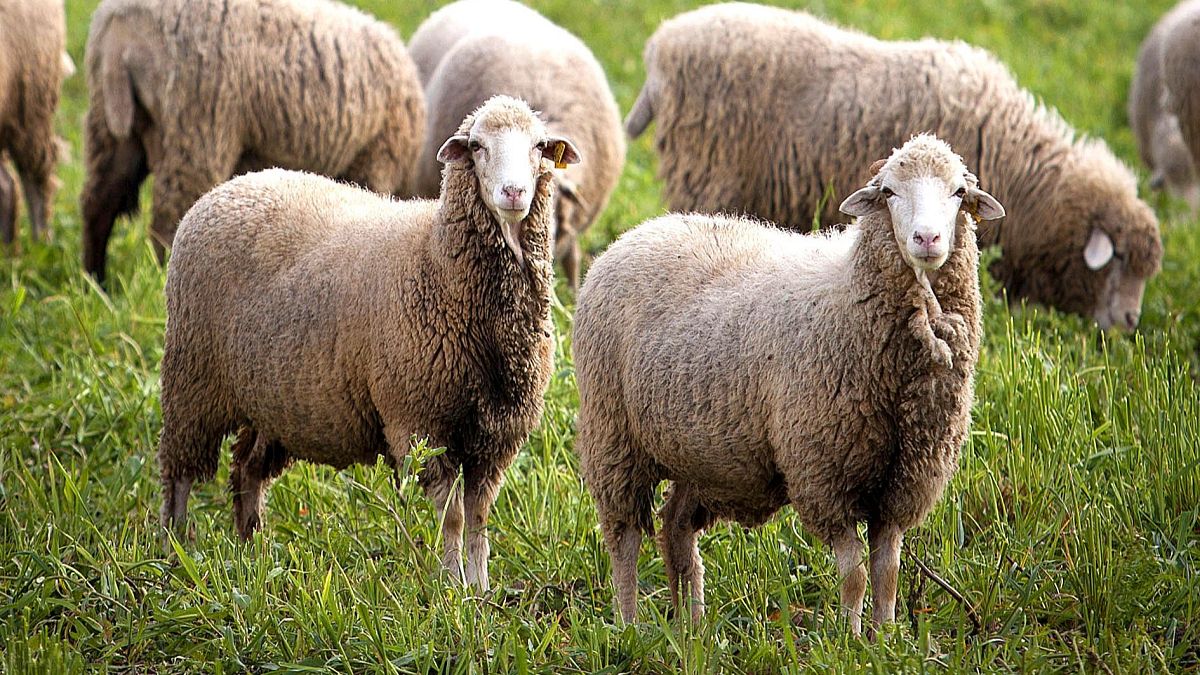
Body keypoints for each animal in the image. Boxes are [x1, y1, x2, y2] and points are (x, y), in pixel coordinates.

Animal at [80, 0, 426, 285]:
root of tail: (120, 31)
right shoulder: (376, 160)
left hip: (108, 125)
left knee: (98, 201)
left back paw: (95, 283)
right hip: (197, 122)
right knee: (169, 216)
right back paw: (156, 281)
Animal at [157, 96, 580, 590]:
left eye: (538, 146)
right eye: (477, 146)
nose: (513, 193)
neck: (436, 259)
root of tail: (225, 189)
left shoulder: (497, 433)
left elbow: (478, 517)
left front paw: (480, 589)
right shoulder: (420, 421)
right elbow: (453, 517)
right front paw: (452, 588)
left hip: (272, 398)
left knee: (246, 468)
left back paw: (250, 549)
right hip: (193, 378)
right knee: (179, 473)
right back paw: (173, 550)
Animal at [574, 134, 1004, 635]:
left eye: (958, 192)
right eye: (889, 192)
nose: (928, 239)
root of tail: (635, 233)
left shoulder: (904, 482)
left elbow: (888, 571)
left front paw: (885, 636)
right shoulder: (824, 474)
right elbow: (855, 574)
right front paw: (851, 639)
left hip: (700, 454)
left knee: (676, 529)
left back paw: (693, 627)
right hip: (613, 433)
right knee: (623, 538)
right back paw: (629, 625)